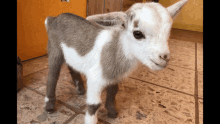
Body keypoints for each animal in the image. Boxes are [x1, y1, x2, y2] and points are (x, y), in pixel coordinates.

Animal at [44, 0, 189, 123]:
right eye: (137, 34)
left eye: (168, 33)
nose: (164, 58)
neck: (115, 48)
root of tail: (53, 19)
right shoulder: (95, 78)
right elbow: (94, 105)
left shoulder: (115, 77)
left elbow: (113, 92)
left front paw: (112, 113)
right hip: (54, 48)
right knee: (52, 75)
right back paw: (49, 106)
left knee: (71, 66)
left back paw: (80, 89)